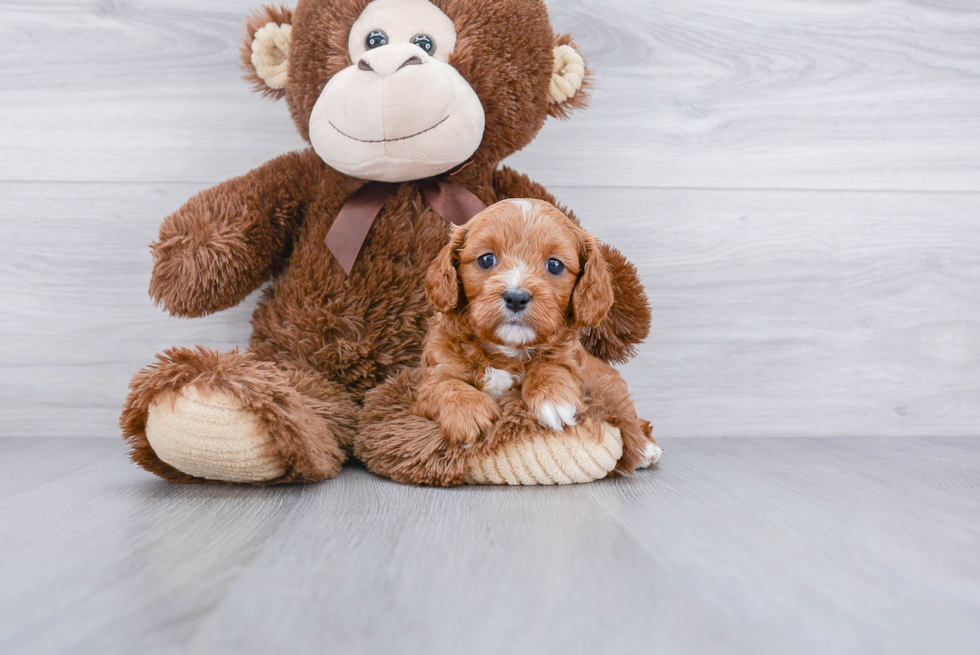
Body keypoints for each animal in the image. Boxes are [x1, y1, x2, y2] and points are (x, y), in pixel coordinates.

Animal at [418, 200, 664, 472]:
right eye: (486, 259)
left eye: (554, 265)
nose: (516, 297)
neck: (508, 349)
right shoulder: (432, 373)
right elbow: (445, 385)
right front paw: (470, 413)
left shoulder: (571, 359)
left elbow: (551, 366)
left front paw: (553, 399)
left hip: (610, 386)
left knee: (626, 415)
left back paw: (645, 449)